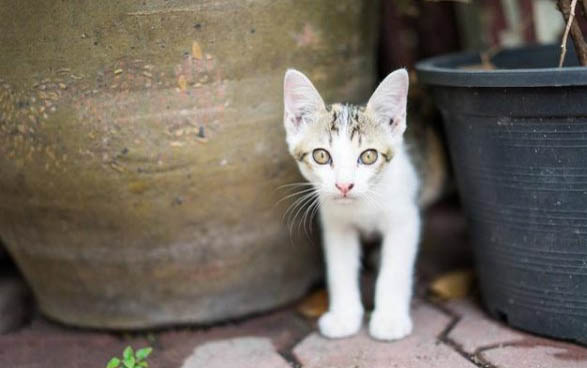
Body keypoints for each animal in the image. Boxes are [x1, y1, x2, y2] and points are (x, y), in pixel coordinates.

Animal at [282, 67, 420, 340]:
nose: (344, 185)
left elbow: (395, 270)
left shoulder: (404, 219)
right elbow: (340, 268)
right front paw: (344, 317)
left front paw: (389, 319)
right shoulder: (336, 224)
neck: (362, 205)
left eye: (368, 156)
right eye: (321, 155)